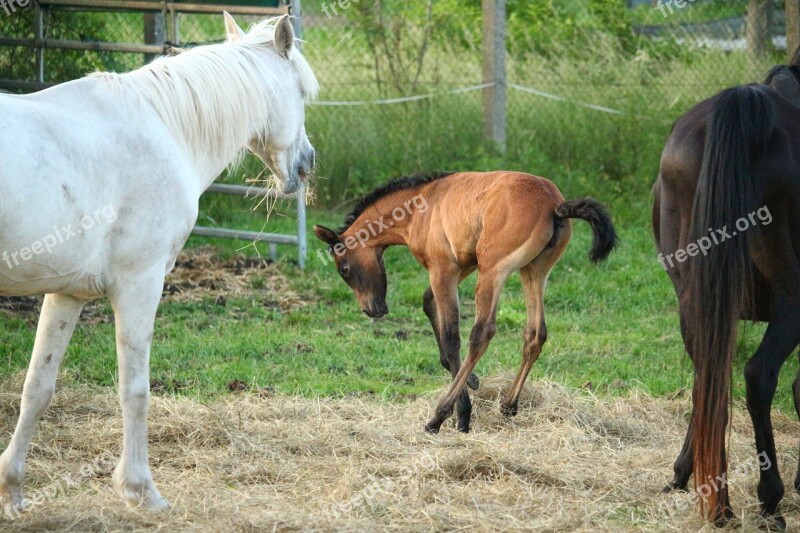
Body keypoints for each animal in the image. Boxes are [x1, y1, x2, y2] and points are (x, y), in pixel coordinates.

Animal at [0, 12, 318, 510]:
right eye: (302, 91)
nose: (306, 163)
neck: (165, 130)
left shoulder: (66, 294)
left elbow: (37, 387)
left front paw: (11, 491)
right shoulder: (140, 284)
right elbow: (135, 391)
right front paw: (140, 489)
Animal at [316, 170, 616, 432]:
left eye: (344, 268)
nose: (372, 310)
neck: (418, 208)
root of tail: (554, 204)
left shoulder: (443, 268)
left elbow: (452, 336)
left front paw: (462, 413)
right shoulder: (464, 264)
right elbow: (428, 302)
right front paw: (469, 379)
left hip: (493, 270)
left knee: (482, 332)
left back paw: (437, 417)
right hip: (534, 270)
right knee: (535, 332)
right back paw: (508, 405)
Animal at [656, 51, 800, 528]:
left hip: (695, 298)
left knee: (709, 372)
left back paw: (714, 498)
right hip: (793, 301)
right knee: (758, 375)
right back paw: (769, 499)